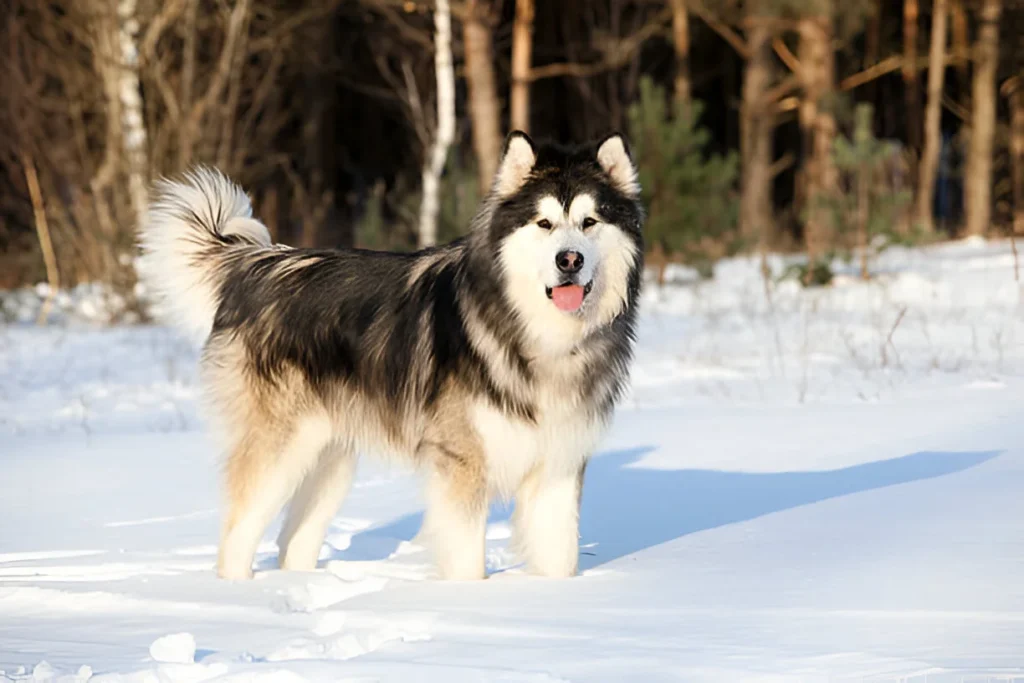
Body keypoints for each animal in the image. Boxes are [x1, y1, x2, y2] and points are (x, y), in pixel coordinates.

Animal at [140, 132, 643, 581]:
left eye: (590, 222)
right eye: (544, 224)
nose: (569, 260)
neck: (539, 335)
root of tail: (259, 265)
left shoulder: (559, 465)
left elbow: (560, 558)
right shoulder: (461, 464)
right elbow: (467, 562)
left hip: (330, 460)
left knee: (293, 544)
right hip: (279, 451)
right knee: (237, 539)